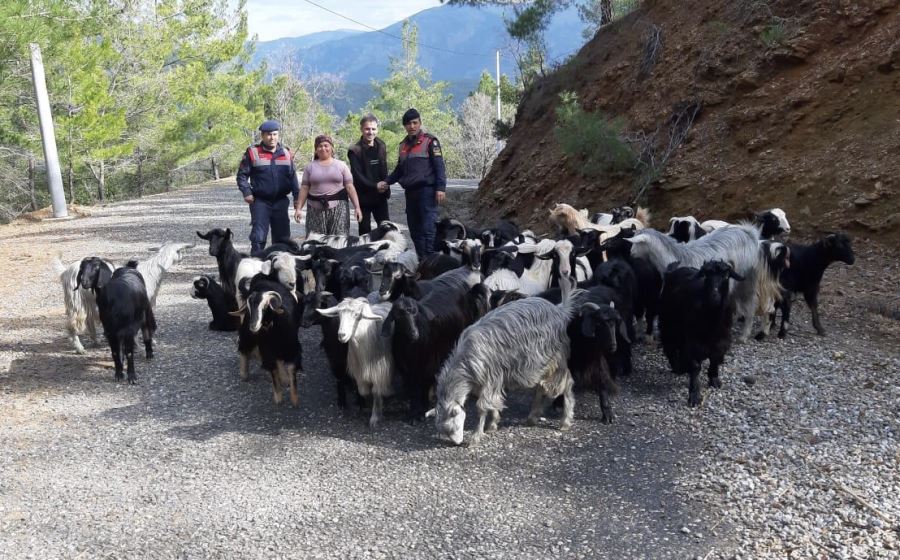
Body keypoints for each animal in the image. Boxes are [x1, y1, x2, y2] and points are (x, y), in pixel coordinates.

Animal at [656, 258, 740, 406]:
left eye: (725, 275)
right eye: (706, 275)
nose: (714, 296)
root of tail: (673, 270)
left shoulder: (722, 340)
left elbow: (715, 359)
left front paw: (714, 379)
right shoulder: (692, 341)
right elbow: (695, 366)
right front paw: (694, 395)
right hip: (668, 324)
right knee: (669, 346)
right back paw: (677, 367)